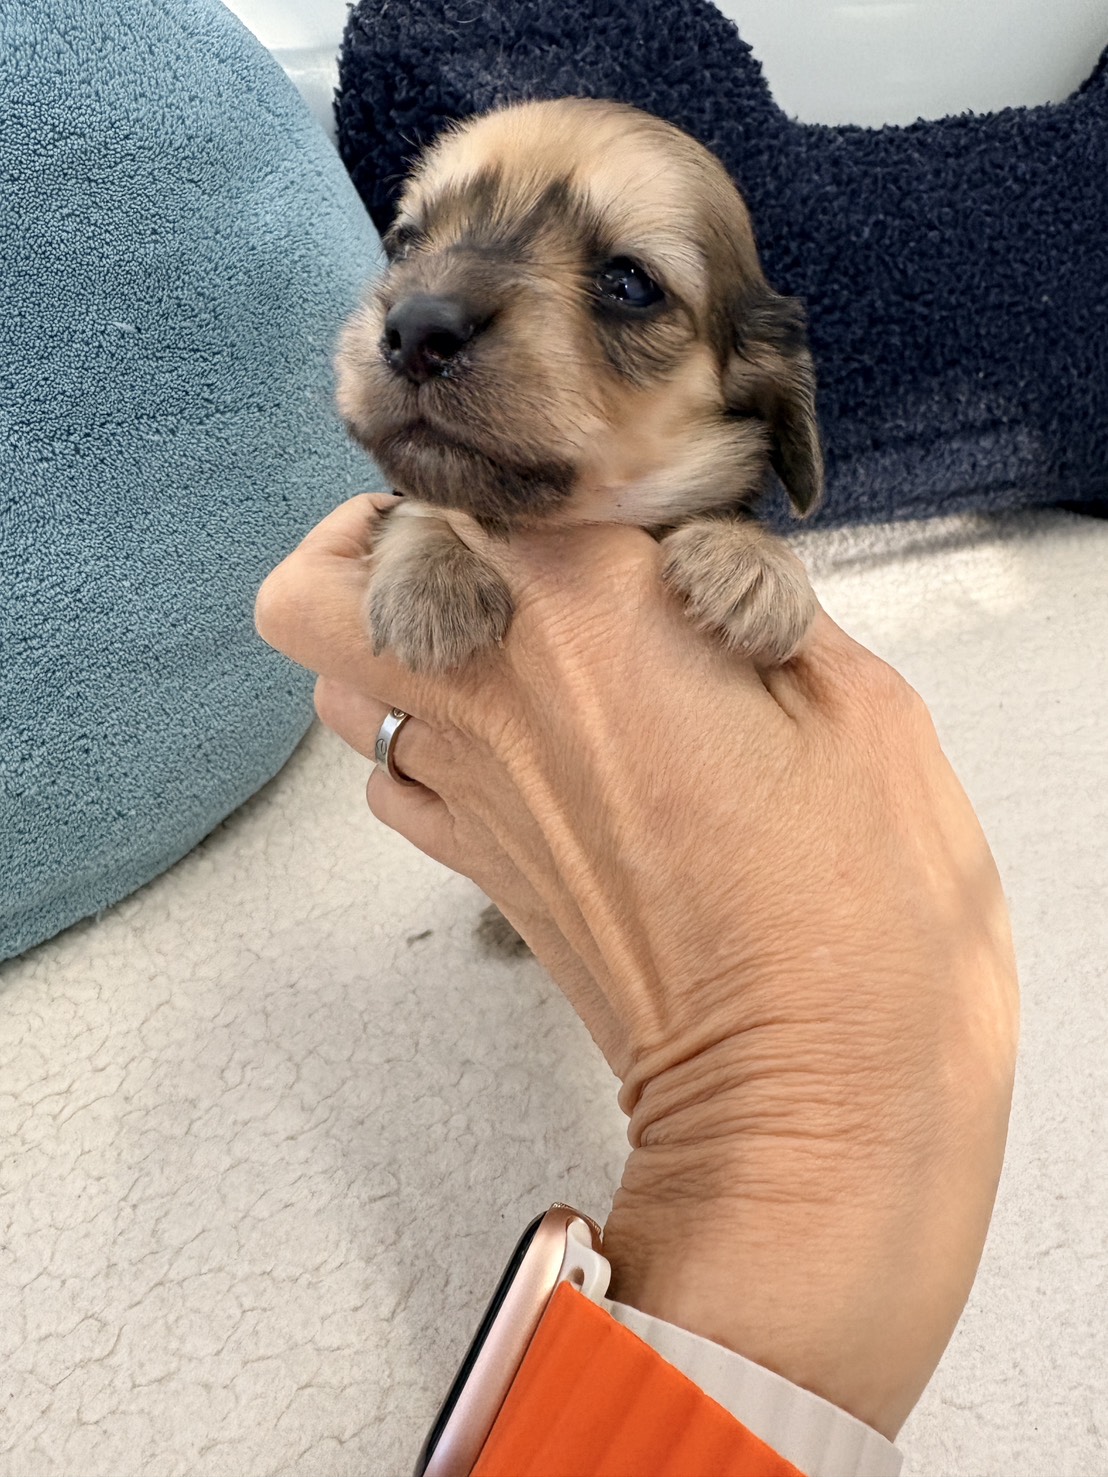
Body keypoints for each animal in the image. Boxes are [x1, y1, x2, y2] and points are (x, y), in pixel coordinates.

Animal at [334, 97, 823, 677]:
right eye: (407, 244)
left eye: (629, 283)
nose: (414, 331)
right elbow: (415, 509)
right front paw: (432, 578)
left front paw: (753, 561)